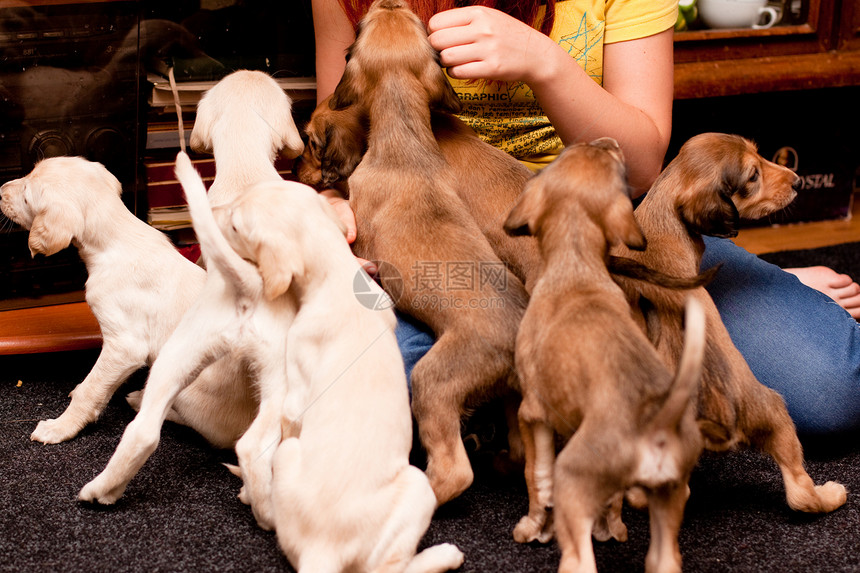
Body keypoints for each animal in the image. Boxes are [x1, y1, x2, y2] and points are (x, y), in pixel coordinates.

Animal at [172, 152, 460, 572]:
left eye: (237, 225)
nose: (212, 213)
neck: (337, 276)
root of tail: (323, 549)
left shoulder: (295, 397)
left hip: (386, 477)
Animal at [330, 0, 532, 502]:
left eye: (358, 32)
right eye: (420, 26)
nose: (388, 1)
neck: (406, 145)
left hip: (431, 382)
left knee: (456, 472)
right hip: (513, 400)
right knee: (521, 454)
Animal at [504, 137, 704, 572]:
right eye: (611, 159)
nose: (609, 140)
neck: (577, 267)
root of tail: (655, 424)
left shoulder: (533, 414)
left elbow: (535, 476)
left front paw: (532, 527)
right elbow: (610, 503)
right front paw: (611, 528)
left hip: (573, 489)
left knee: (579, 559)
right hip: (668, 507)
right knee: (663, 558)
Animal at [616, 134, 848, 512]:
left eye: (759, 153)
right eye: (753, 176)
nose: (798, 181)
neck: (661, 213)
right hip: (776, 412)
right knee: (800, 493)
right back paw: (831, 494)